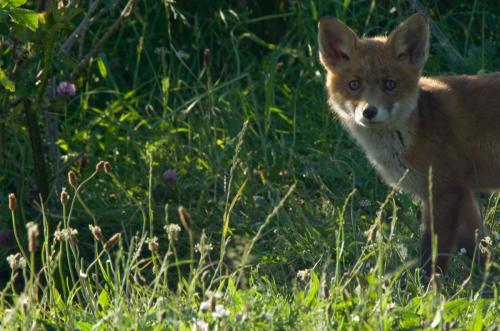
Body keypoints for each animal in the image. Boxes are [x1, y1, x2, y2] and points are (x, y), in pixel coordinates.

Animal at [318, 13, 498, 274]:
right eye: (354, 84)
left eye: (389, 84)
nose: (369, 112)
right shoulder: (461, 191)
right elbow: (476, 245)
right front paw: (488, 274)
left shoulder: (445, 190)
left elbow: (433, 253)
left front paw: (430, 285)